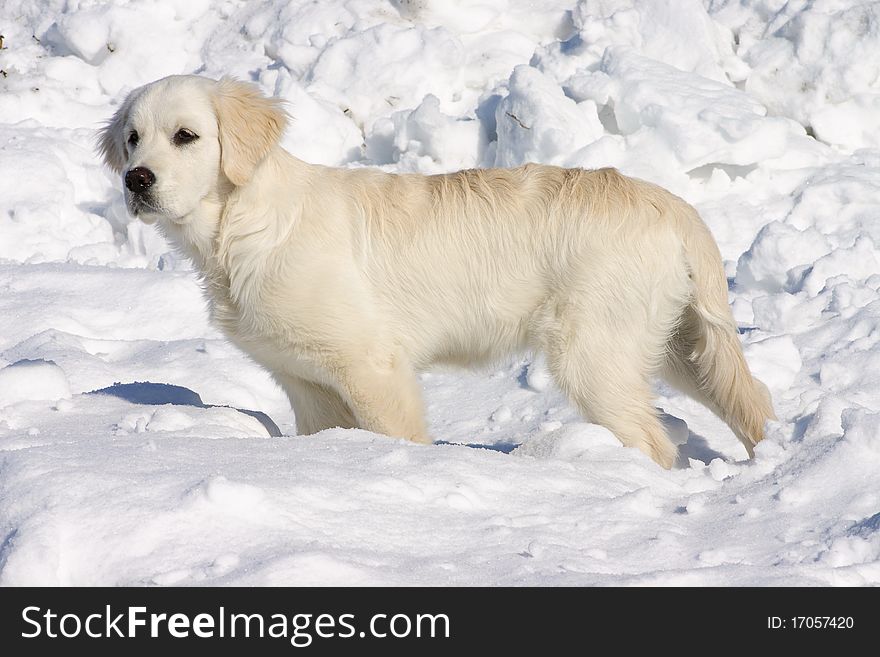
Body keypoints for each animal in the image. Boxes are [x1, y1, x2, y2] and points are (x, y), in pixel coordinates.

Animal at [96, 75, 772, 466]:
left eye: (187, 136)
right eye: (132, 139)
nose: (137, 180)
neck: (241, 225)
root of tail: (674, 206)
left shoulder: (373, 367)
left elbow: (399, 436)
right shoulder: (306, 385)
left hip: (594, 353)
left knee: (655, 444)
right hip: (680, 346)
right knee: (753, 404)